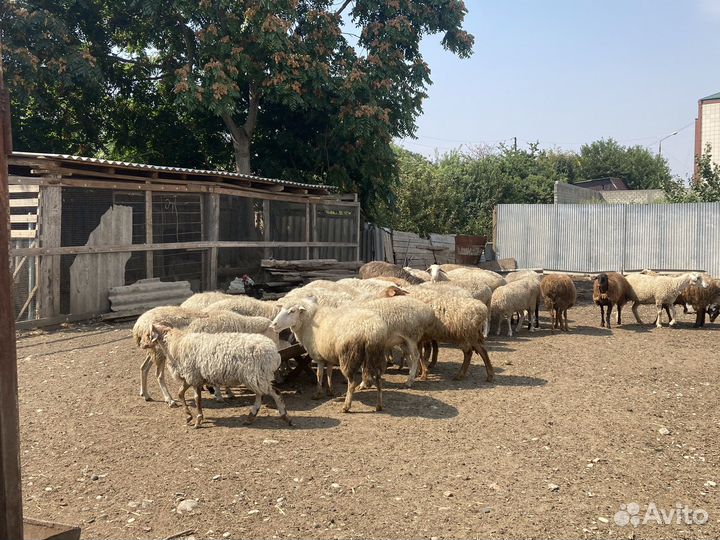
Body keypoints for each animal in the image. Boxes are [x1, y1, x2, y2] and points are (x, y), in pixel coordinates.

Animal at [142, 325, 291, 427]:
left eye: (148, 334)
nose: (142, 344)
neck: (176, 344)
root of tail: (274, 352)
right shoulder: (190, 377)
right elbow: (180, 394)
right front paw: (188, 416)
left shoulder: (193, 376)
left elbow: (197, 399)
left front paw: (198, 419)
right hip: (256, 376)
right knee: (261, 395)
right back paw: (250, 416)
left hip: (257, 374)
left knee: (275, 393)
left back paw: (285, 416)